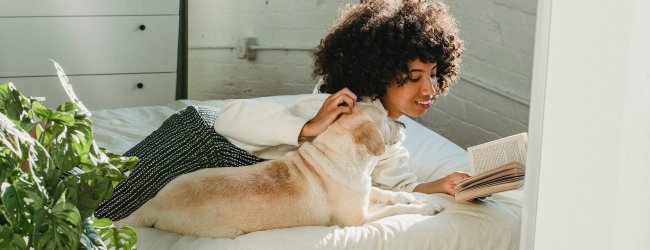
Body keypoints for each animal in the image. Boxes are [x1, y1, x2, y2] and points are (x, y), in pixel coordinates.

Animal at [116, 101, 440, 238]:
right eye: (386, 118)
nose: (405, 125)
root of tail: (154, 203)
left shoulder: (363, 190)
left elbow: (385, 193)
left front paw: (410, 197)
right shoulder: (357, 220)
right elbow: (393, 210)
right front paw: (424, 209)